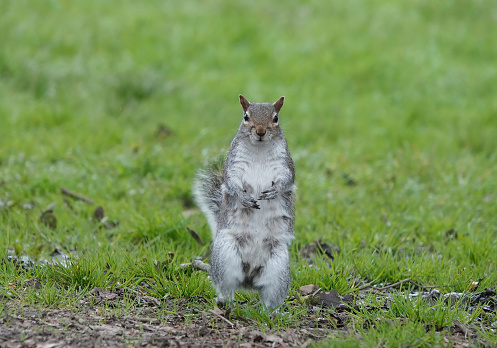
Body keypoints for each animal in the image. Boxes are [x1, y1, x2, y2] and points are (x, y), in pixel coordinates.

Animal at [193, 94, 294, 308]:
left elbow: (286, 180)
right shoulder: (233, 166)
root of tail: (249, 281)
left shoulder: (286, 166)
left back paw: (272, 312)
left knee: (270, 297)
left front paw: (274, 191)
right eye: (246, 116)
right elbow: (231, 183)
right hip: (226, 257)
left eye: (276, 118)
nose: (261, 131)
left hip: (278, 267)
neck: (260, 149)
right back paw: (225, 302)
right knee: (227, 287)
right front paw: (244, 198)